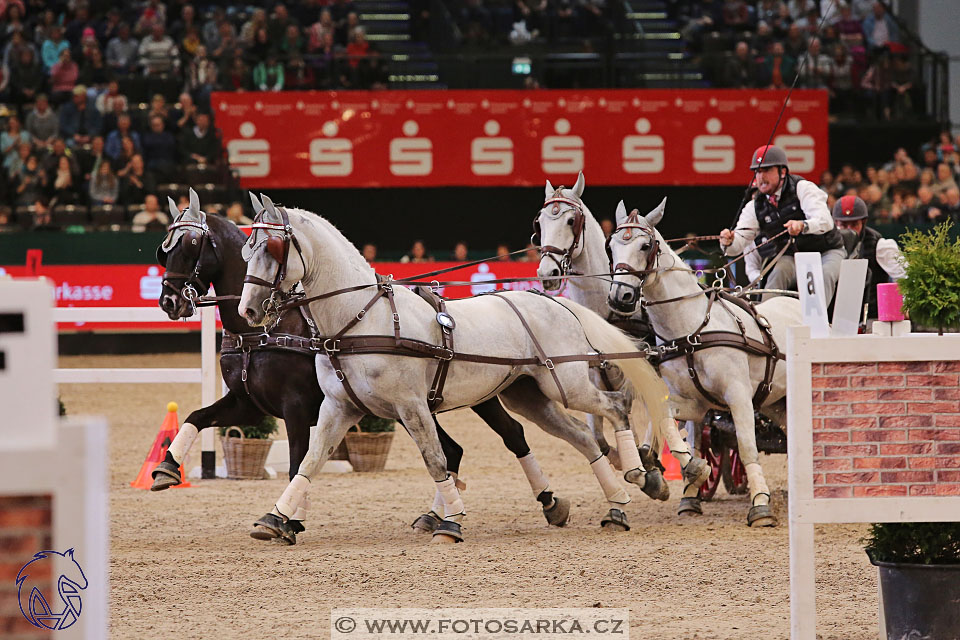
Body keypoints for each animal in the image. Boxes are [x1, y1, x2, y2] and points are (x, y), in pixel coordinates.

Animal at [235, 198, 692, 536]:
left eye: (271, 249)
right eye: (245, 249)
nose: (248, 310)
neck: (362, 318)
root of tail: (554, 302)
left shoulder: (412, 407)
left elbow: (437, 459)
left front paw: (451, 521)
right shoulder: (339, 407)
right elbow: (310, 460)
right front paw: (277, 518)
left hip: (567, 384)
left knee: (614, 407)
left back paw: (637, 474)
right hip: (527, 396)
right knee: (581, 435)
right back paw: (611, 503)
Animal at [608, 199, 804, 524]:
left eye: (645, 245)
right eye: (611, 246)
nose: (619, 296)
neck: (693, 329)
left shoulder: (738, 396)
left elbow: (747, 448)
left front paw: (761, 506)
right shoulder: (696, 404)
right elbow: (666, 418)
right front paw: (692, 471)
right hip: (776, 402)